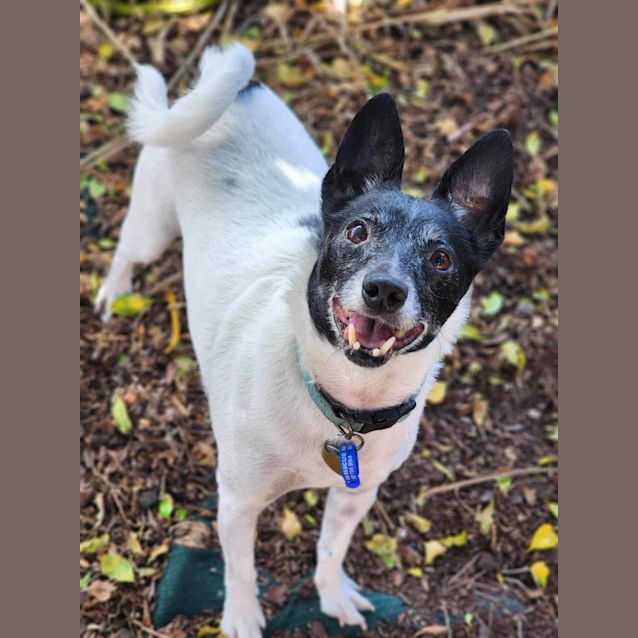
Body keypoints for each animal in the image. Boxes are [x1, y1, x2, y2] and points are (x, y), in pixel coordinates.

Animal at [95, 45, 516, 638]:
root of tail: (237, 84)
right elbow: (240, 569)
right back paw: (115, 292)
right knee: (127, 252)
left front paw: (331, 595)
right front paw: (242, 618)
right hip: (152, 224)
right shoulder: (237, 500)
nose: (384, 290)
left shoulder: (355, 496)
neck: (343, 406)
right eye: (358, 231)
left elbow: (330, 550)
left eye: (441, 259)